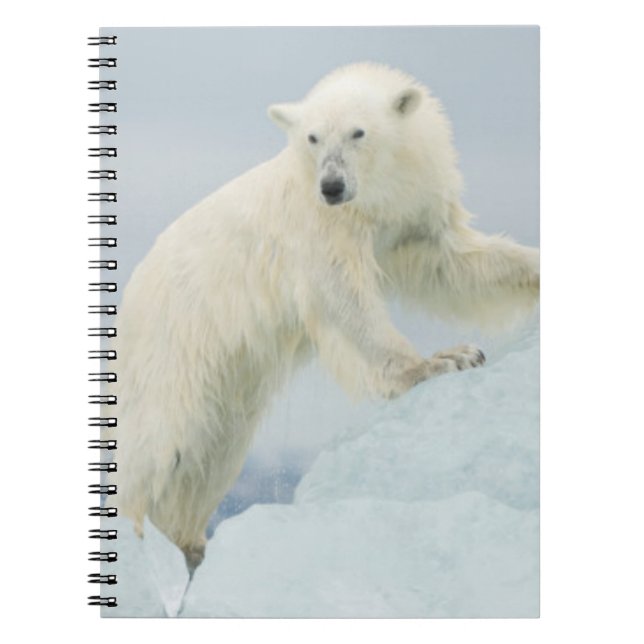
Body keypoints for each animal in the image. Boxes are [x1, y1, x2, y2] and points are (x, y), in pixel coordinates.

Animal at [109, 62, 539, 576]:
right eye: (313, 137)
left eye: (358, 132)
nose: (332, 187)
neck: (373, 197)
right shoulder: (318, 225)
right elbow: (342, 297)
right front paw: (443, 360)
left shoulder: (411, 213)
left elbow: (455, 264)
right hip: (174, 348)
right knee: (156, 445)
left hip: (227, 382)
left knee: (210, 452)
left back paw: (190, 545)